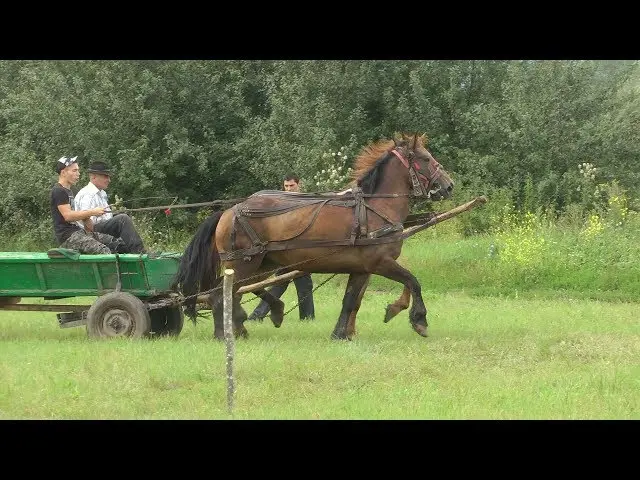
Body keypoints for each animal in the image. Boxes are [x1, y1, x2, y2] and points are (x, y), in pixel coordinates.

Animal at [175, 133, 456, 340]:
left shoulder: (362, 268)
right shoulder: (380, 262)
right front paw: (418, 320)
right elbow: (413, 281)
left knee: (233, 293)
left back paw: (249, 323)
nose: (449, 185)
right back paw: (226, 333)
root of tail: (229, 211)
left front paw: (341, 334)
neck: (375, 208)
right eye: (426, 158)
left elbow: (351, 301)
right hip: (244, 263)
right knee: (220, 294)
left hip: (260, 264)